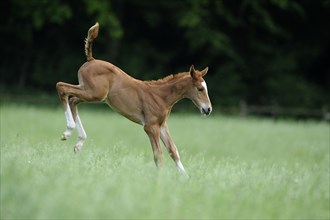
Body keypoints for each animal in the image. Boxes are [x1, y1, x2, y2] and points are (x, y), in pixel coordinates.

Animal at [55, 22, 213, 174]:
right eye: (200, 89)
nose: (208, 109)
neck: (162, 97)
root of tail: (91, 59)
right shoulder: (150, 127)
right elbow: (158, 156)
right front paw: (160, 179)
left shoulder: (162, 125)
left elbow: (173, 150)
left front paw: (185, 178)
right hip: (94, 93)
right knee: (62, 87)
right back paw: (68, 131)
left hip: (89, 91)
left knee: (72, 99)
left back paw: (78, 143)